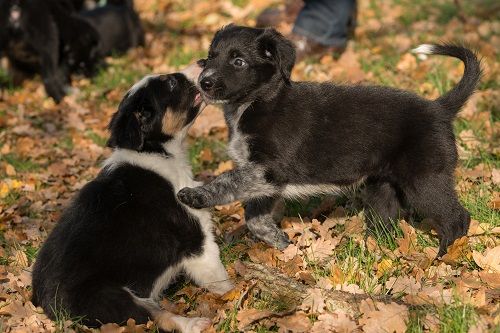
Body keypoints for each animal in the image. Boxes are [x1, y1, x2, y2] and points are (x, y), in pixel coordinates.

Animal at [31, 66, 232, 330]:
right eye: (170, 83)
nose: (202, 61)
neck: (156, 151)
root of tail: (49, 307)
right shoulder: (196, 238)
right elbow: (218, 276)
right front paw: (236, 291)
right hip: (112, 298)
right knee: (156, 316)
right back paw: (195, 323)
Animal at [178, 24, 482, 255]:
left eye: (238, 61)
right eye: (210, 57)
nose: (203, 82)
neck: (256, 103)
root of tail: (439, 108)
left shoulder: (268, 170)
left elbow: (227, 181)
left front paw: (195, 194)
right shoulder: (263, 179)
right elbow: (255, 216)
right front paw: (282, 243)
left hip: (424, 180)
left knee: (457, 218)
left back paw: (443, 256)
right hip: (382, 186)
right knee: (386, 221)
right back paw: (375, 250)